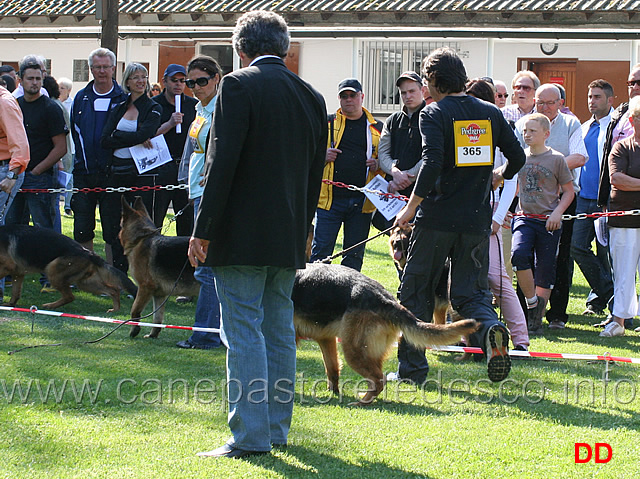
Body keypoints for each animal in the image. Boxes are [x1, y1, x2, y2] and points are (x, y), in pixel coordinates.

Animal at [0, 225, 138, 312]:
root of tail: (89, 253)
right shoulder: (18, 273)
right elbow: (16, 293)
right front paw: (10, 304)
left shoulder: (7, 268)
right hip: (86, 283)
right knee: (113, 290)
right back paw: (115, 309)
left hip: (52, 270)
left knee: (70, 297)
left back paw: (50, 306)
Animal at [119, 197, 199, 340]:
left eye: (120, 225)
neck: (142, 238)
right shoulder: (159, 294)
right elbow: (157, 318)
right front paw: (153, 335)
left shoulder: (144, 288)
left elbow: (134, 310)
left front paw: (134, 330)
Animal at [292, 264, 478, 406]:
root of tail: (387, 300)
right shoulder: (326, 339)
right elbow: (332, 369)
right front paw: (333, 392)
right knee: (376, 378)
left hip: (353, 350)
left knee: (379, 379)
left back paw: (362, 403)